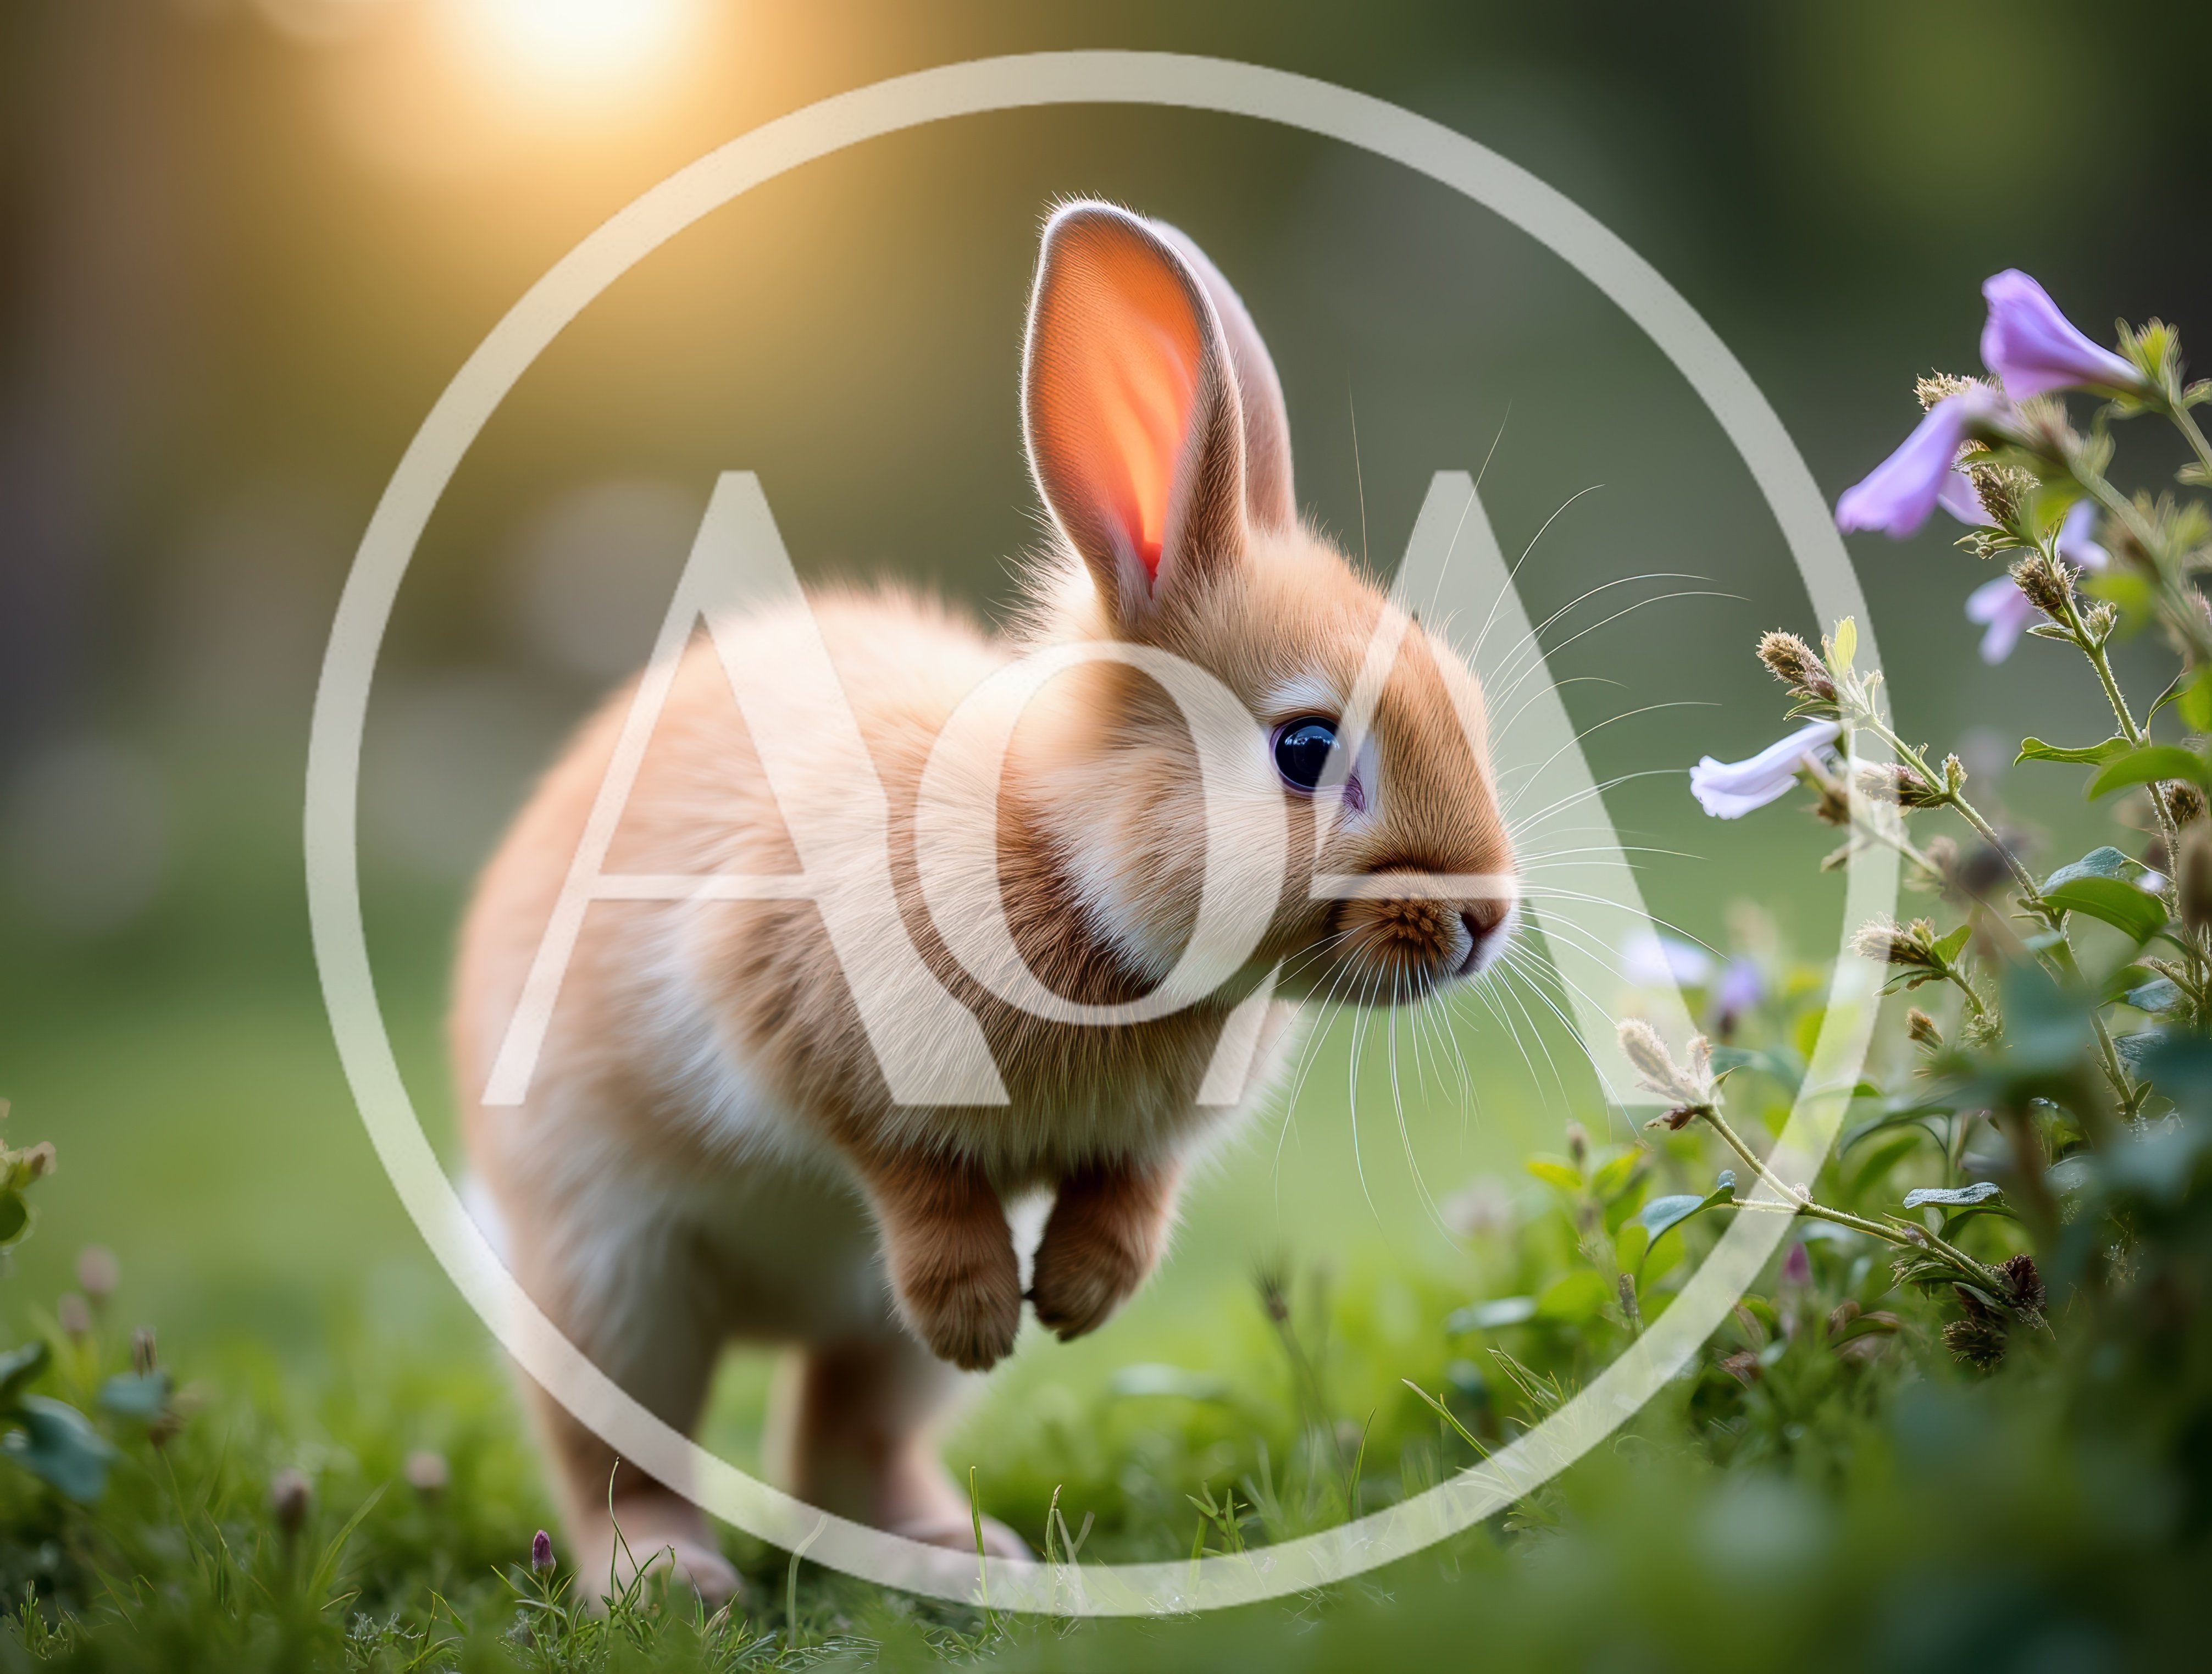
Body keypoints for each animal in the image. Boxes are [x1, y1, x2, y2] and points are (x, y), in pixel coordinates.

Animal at [452, 199, 1517, 1603]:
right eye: (1303, 747)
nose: (1485, 919)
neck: (1061, 850)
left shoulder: (1144, 1146)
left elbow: (1127, 1195)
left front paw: (1074, 1297)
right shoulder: (788, 1004)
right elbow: (900, 1163)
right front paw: (977, 1303)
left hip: (847, 1343)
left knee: (838, 1436)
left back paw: (955, 1553)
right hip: (612, 1278)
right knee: (619, 1454)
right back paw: (676, 1578)